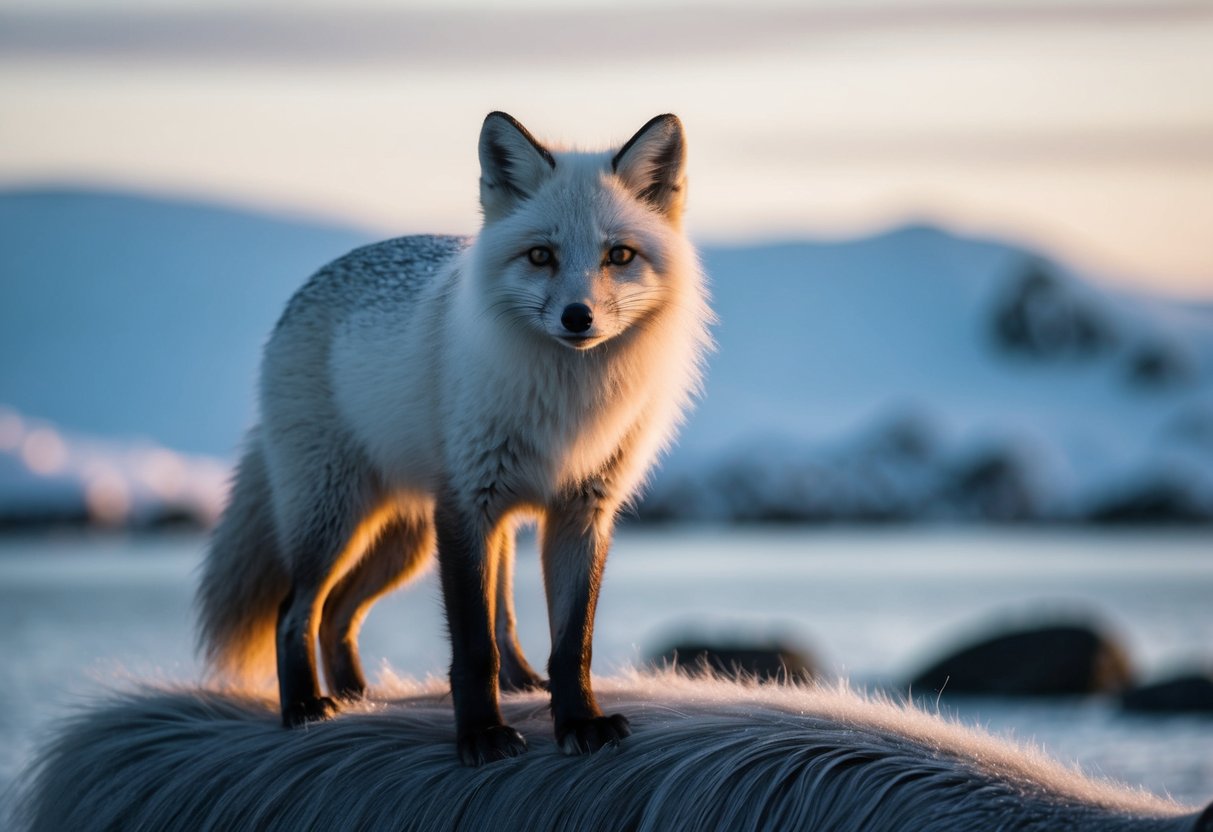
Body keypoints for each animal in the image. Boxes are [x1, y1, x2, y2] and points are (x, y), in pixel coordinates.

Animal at [195, 112, 712, 765]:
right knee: (296, 610)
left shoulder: (580, 510)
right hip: (338, 519)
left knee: (341, 616)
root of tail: (310, 286)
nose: (578, 317)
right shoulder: (468, 506)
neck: (568, 401)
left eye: (619, 255)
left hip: (408, 541)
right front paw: (482, 735)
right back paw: (307, 707)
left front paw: (579, 722)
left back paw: (369, 698)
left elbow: (572, 644)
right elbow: (472, 646)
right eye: (540, 255)